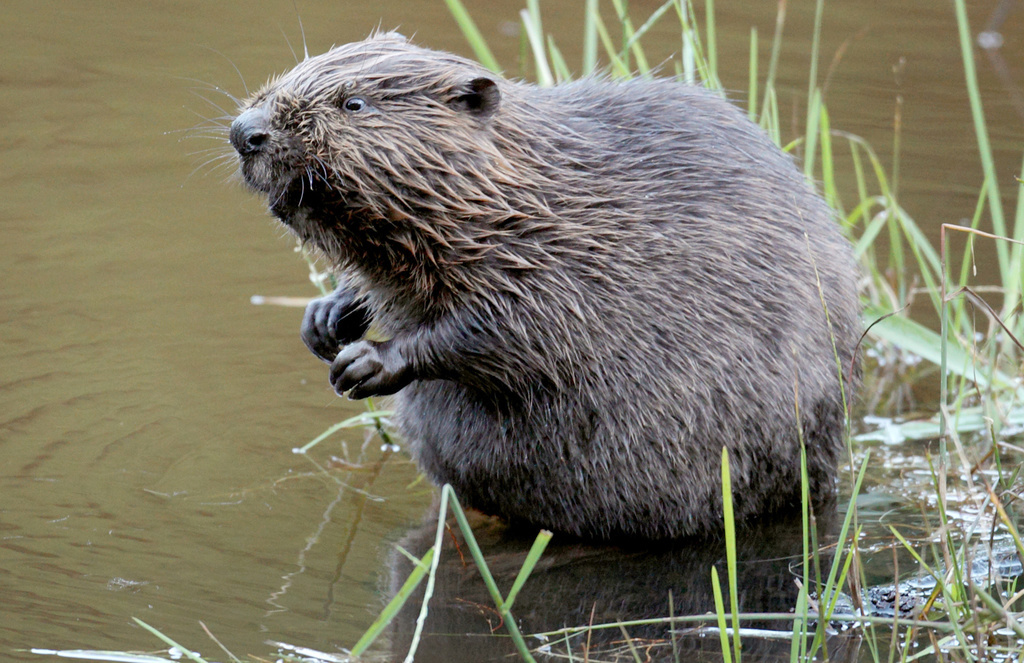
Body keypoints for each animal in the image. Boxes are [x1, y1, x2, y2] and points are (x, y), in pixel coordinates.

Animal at [228, 29, 860, 541]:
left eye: (354, 103)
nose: (244, 132)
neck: (519, 192)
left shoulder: (561, 262)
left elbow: (511, 332)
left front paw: (365, 363)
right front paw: (324, 320)